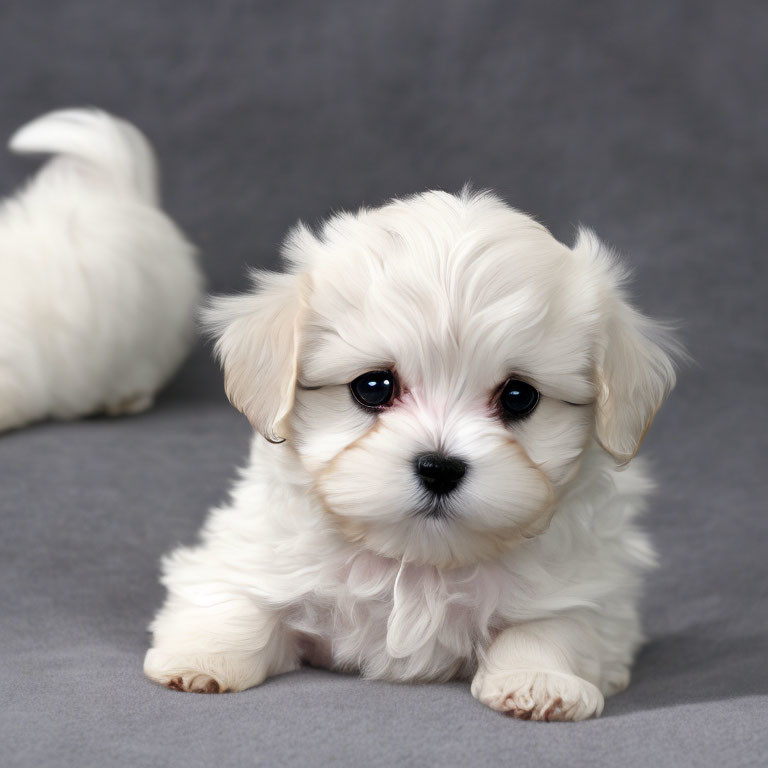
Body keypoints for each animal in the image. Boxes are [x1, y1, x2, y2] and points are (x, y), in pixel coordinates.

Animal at [146, 190, 680, 720]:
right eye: (374, 387)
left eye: (518, 397)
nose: (439, 467)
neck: (418, 560)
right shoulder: (251, 550)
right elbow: (235, 599)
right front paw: (201, 658)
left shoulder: (596, 592)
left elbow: (556, 626)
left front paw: (540, 679)